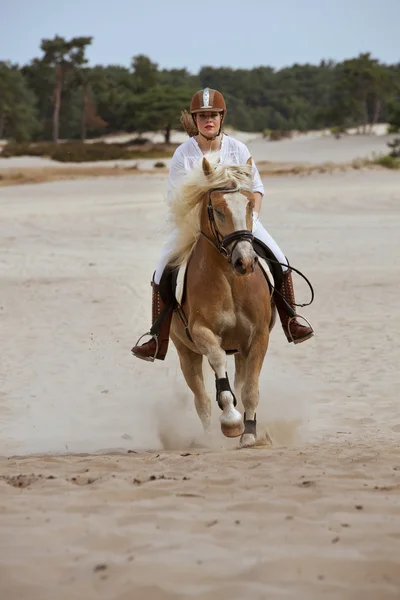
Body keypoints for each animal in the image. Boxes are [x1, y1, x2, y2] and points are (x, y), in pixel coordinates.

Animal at [166, 154, 276, 446]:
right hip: (186, 353)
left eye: (249, 204)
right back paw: (208, 438)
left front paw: (249, 434)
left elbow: (249, 389)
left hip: (240, 350)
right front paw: (231, 421)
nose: (245, 261)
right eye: (217, 210)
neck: (231, 282)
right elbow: (217, 362)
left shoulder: (258, 337)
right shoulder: (202, 332)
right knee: (201, 399)